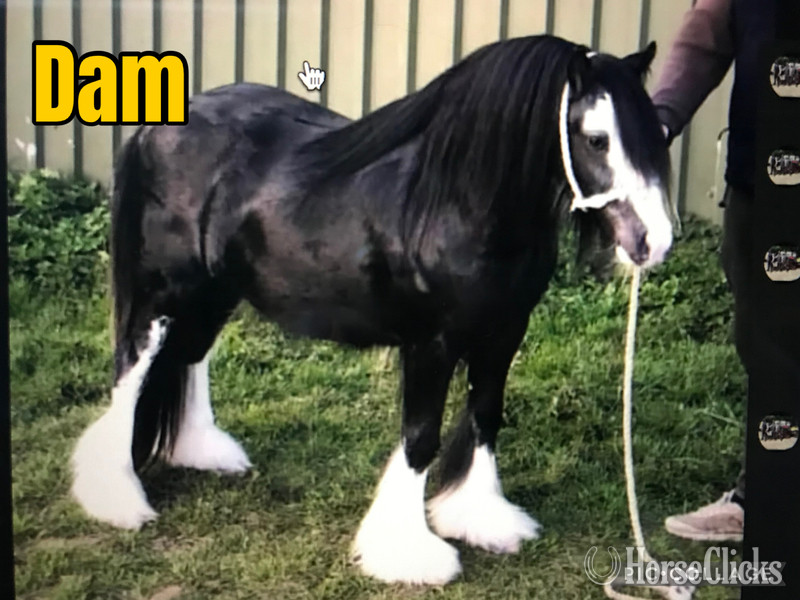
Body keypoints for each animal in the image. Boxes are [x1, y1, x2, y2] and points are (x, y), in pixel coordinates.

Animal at [71, 35, 673, 585]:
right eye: (596, 138)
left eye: (659, 133)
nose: (655, 241)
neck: (456, 203)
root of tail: (158, 126)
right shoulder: (431, 344)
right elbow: (421, 438)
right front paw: (409, 553)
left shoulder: (503, 334)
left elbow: (485, 416)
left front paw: (481, 519)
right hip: (161, 293)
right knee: (132, 371)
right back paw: (116, 497)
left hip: (214, 291)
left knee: (191, 356)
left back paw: (201, 451)